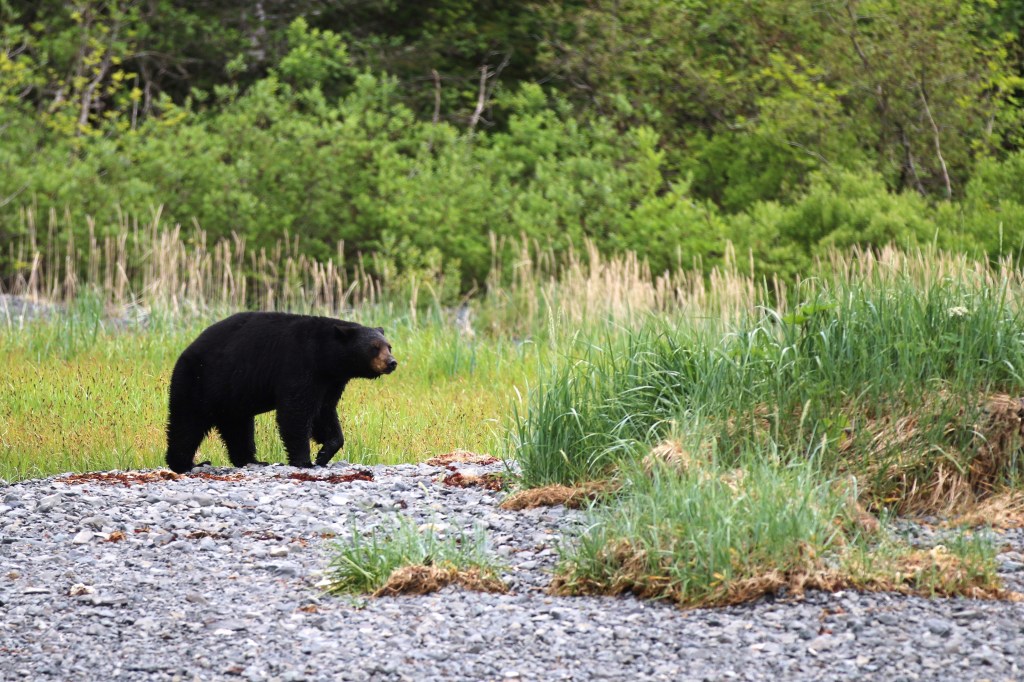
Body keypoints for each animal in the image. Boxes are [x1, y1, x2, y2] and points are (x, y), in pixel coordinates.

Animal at [165, 312, 397, 473]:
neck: (323, 356)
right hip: (200, 382)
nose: (392, 363)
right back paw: (185, 464)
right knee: (186, 423)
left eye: (389, 346)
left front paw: (323, 453)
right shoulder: (299, 365)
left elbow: (324, 413)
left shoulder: (330, 381)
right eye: (374, 347)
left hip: (232, 399)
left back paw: (252, 460)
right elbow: (296, 412)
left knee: (238, 429)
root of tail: (185, 352)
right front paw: (305, 461)